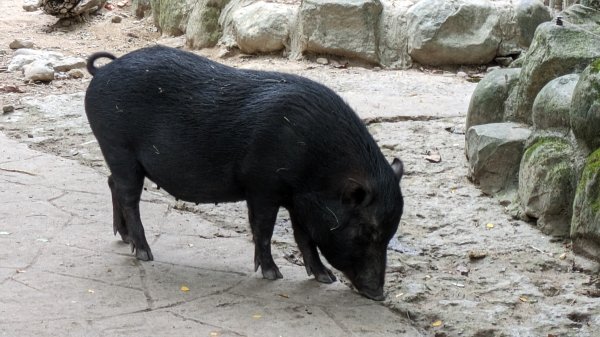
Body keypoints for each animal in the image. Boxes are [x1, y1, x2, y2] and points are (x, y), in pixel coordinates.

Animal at [83, 45, 404, 300]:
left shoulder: (300, 201)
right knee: (128, 196)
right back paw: (144, 253)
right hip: (117, 147)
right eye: (366, 231)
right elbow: (264, 228)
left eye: (390, 233)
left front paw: (325, 278)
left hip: (118, 156)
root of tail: (101, 72)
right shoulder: (262, 185)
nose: (378, 294)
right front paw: (273, 275)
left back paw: (125, 238)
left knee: (112, 183)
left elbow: (304, 236)